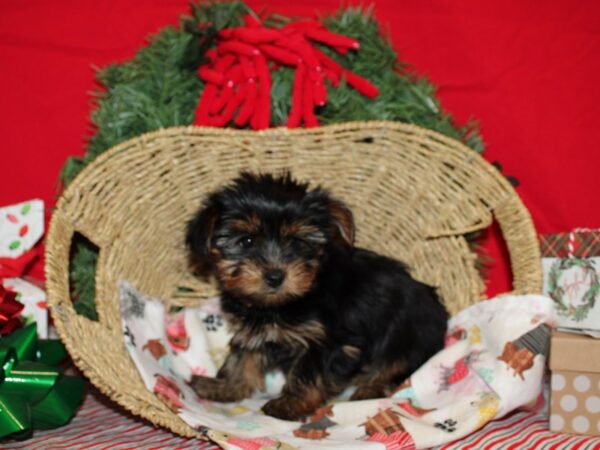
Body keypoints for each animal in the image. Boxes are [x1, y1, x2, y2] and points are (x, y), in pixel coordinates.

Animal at [185, 172, 448, 422]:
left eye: (296, 241)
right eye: (246, 241)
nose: (275, 276)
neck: (280, 305)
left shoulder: (331, 343)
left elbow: (308, 374)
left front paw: (289, 405)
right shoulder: (253, 331)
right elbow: (241, 359)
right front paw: (224, 387)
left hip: (408, 335)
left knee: (396, 365)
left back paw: (369, 389)